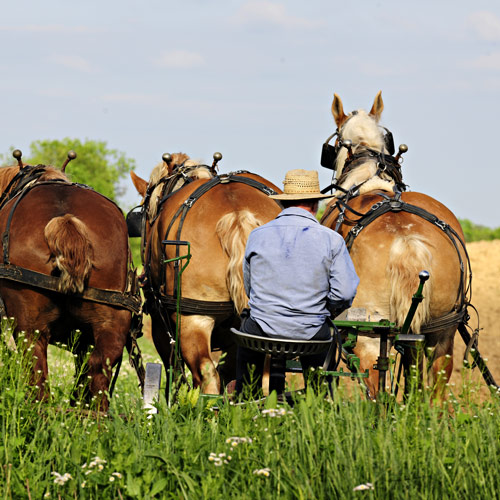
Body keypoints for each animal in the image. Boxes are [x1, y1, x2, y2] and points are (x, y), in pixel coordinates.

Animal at [0, 157, 142, 410]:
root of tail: (65, 219)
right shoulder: (84, 339)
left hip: (29, 327)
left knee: (37, 376)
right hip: (111, 321)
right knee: (98, 367)